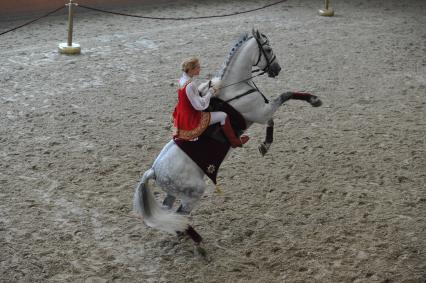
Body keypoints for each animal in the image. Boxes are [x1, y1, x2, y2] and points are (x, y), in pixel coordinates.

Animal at [133, 29, 320, 244]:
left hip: (172, 193)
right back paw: (199, 243)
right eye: (268, 49)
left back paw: (180, 232)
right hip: (193, 193)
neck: (237, 88)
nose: (277, 69)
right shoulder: (261, 112)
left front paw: (265, 145)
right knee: (180, 214)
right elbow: (285, 96)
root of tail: (153, 171)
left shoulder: (262, 113)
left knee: (169, 211)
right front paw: (314, 100)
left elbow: (272, 121)